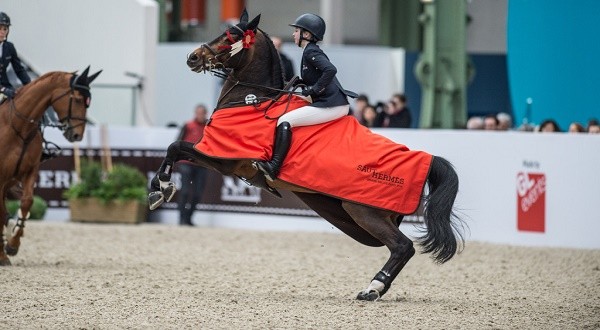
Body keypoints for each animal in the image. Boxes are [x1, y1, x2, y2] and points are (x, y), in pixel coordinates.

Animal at [0, 65, 101, 264]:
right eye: (78, 99)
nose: (77, 135)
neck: (18, 126)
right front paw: (4, 252)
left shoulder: (29, 171)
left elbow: (27, 202)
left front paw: (13, 245)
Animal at [148, 9, 466, 302]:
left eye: (232, 37)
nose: (192, 57)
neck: (251, 100)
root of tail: (425, 160)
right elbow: (175, 149)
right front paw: (158, 190)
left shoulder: (225, 160)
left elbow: (176, 147)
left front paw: (161, 189)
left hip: (363, 210)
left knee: (402, 246)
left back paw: (373, 289)